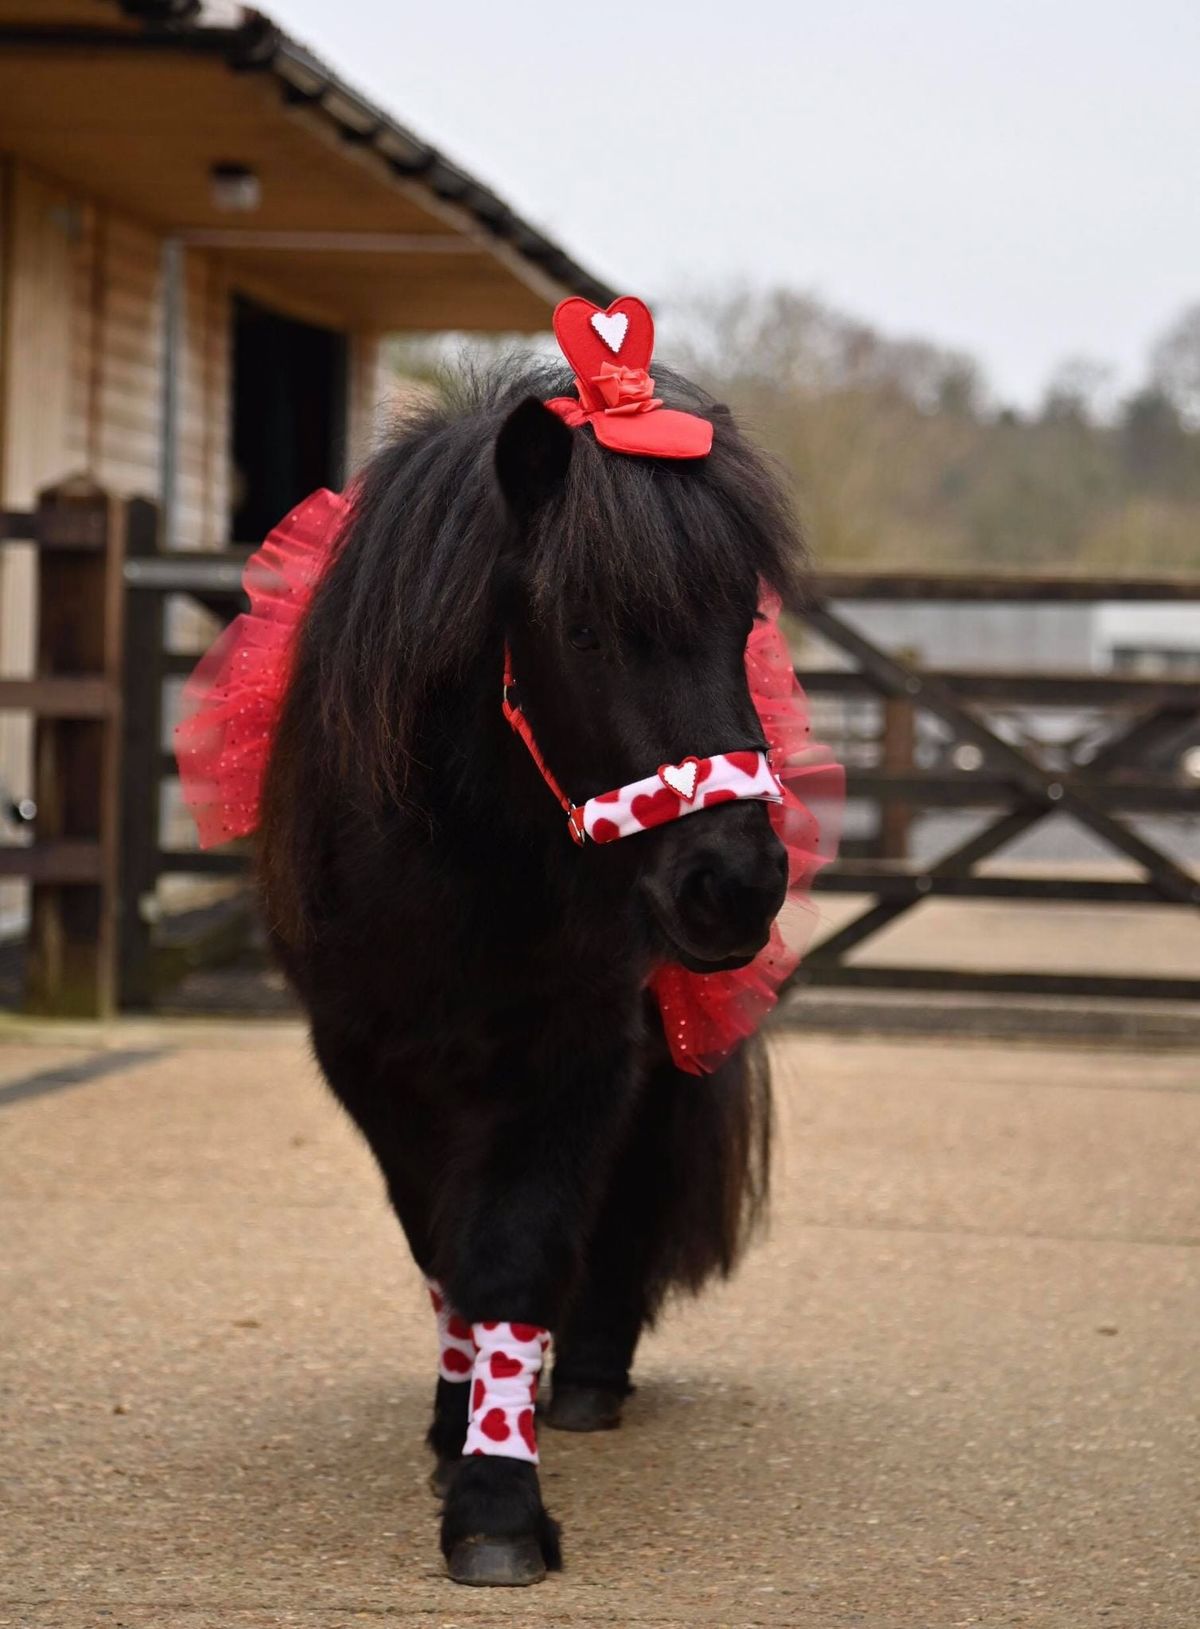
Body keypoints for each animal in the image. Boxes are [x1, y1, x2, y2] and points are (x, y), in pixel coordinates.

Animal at [262, 360, 804, 1589]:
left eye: (741, 620)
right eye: (586, 625)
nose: (736, 886)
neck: (465, 853)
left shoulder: (584, 1045)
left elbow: (512, 1250)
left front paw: (496, 1504)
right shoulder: (367, 1062)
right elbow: (444, 1248)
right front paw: (454, 1426)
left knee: (634, 1181)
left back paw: (591, 1373)